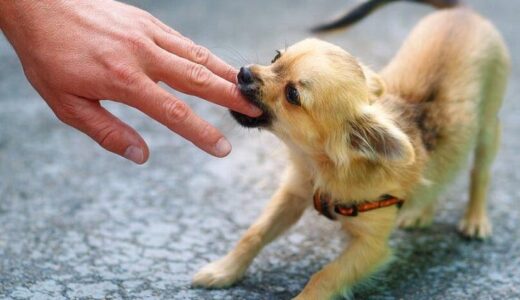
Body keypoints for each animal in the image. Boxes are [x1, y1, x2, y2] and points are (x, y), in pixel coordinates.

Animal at [193, 0, 510, 298]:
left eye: (292, 95)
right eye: (275, 57)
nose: (244, 73)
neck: (320, 165)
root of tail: (463, 12)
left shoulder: (371, 247)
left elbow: (324, 277)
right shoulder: (293, 194)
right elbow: (253, 234)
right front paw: (224, 270)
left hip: (488, 130)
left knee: (480, 173)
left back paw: (475, 219)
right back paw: (420, 212)